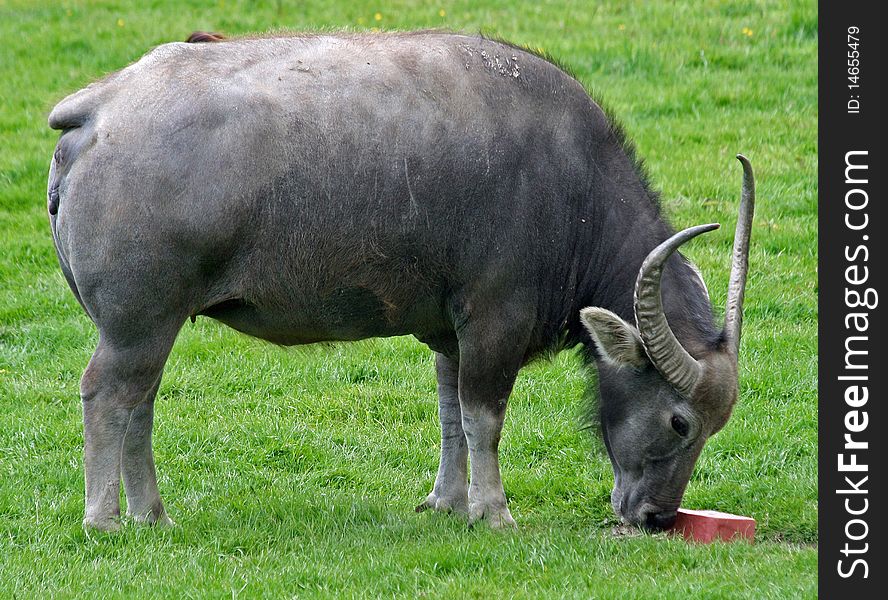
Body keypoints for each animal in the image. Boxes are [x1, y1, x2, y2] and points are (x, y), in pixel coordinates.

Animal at [48, 31, 752, 528]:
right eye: (681, 423)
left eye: (713, 428)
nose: (657, 518)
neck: (571, 187)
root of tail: (99, 108)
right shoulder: (493, 323)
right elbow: (483, 419)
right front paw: (494, 513)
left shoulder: (450, 331)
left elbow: (450, 413)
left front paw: (448, 502)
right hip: (137, 326)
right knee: (106, 398)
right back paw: (105, 519)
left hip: (153, 328)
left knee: (139, 405)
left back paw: (151, 515)